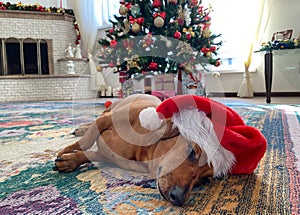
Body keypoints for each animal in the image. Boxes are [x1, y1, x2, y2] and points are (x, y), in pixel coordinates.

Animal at [55, 94, 266, 207]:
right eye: (192, 153)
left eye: (204, 180)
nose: (179, 199)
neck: (143, 147)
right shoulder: (105, 121)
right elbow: (86, 141)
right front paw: (65, 151)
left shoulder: (107, 155)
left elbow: (88, 154)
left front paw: (70, 161)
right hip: (109, 111)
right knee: (93, 122)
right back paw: (80, 128)